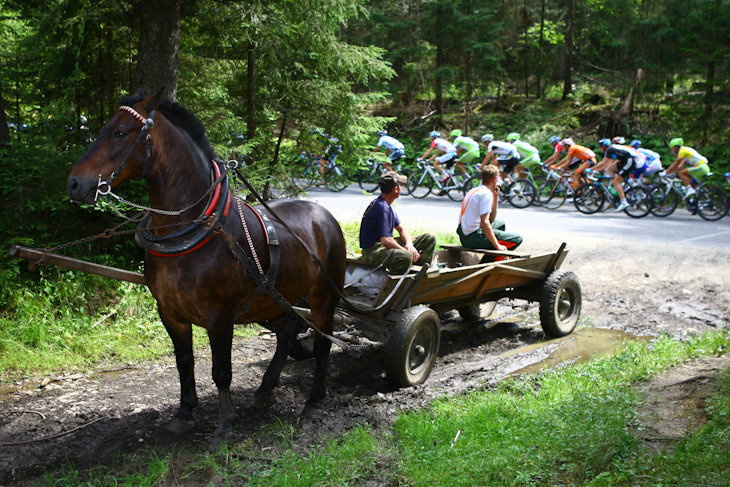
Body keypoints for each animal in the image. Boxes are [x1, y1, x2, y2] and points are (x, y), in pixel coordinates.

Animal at [65, 90, 344, 442]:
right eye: (102, 129)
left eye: (119, 133)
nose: (74, 184)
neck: (190, 230)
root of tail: (324, 214)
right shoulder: (169, 312)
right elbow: (184, 362)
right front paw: (185, 412)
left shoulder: (219, 316)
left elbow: (221, 370)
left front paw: (224, 425)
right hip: (272, 300)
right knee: (287, 333)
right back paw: (265, 390)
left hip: (323, 297)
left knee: (322, 344)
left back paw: (315, 400)